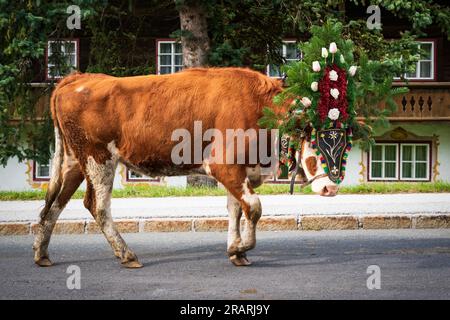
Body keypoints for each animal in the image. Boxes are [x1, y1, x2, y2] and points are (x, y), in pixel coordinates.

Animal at [34, 67, 338, 268]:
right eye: (311, 138)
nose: (331, 187)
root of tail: (79, 78)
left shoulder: (239, 171)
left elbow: (236, 209)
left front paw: (236, 251)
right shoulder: (223, 164)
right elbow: (253, 207)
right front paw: (241, 246)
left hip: (75, 161)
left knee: (56, 203)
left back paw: (42, 254)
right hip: (98, 158)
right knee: (97, 205)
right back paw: (127, 254)